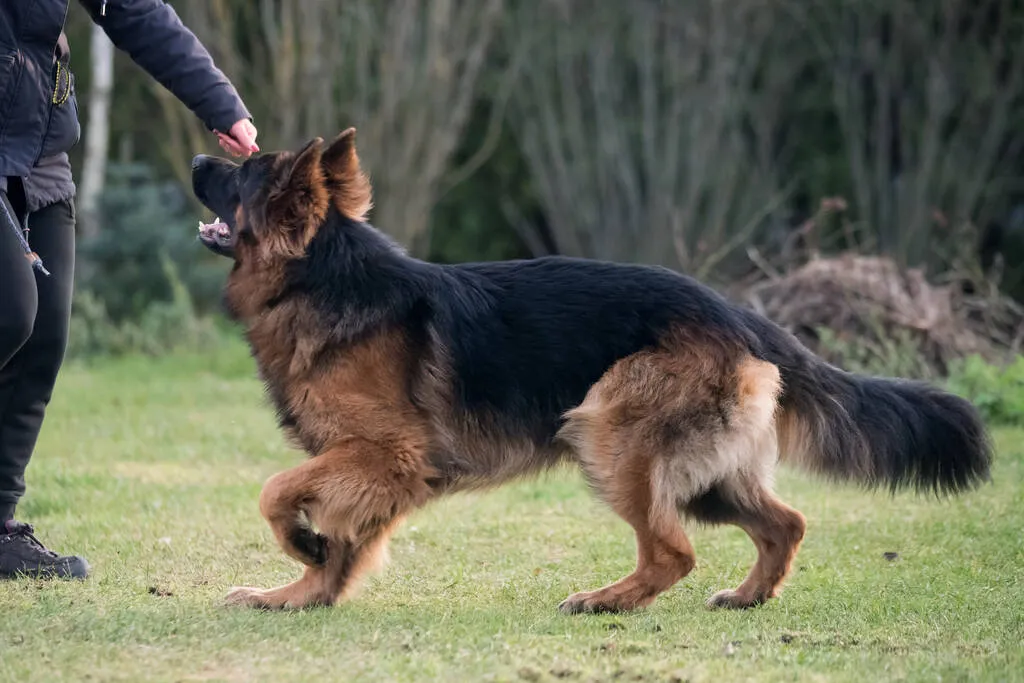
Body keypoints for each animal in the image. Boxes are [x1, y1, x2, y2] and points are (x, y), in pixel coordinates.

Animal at [192, 129, 991, 614]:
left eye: (241, 173)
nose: (202, 160)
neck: (324, 276)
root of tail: (740, 315)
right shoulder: (368, 466)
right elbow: (340, 540)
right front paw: (299, 592)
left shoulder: (383, 454)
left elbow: (276, 491)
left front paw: (302, 545)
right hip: (704, 476)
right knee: (783, 523)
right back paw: (747, 596)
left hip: (607, 431)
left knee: (674, 551)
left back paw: (607, 599)